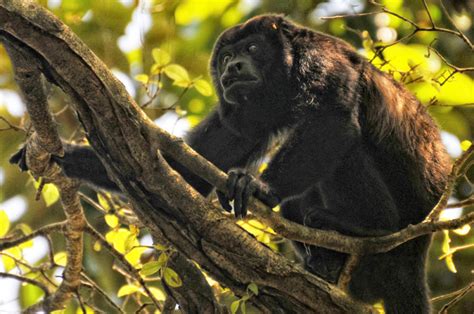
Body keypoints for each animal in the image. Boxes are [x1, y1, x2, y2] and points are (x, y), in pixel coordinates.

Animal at [11, 14, 452, 312]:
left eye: (252, 49)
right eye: (225, 57)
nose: (232, 67)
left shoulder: (322, 56)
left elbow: (332, 118)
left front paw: (259, 187)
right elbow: (194, 167)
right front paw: (58, 155)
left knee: (349, 150)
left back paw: (368, 227)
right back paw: (325, 264)